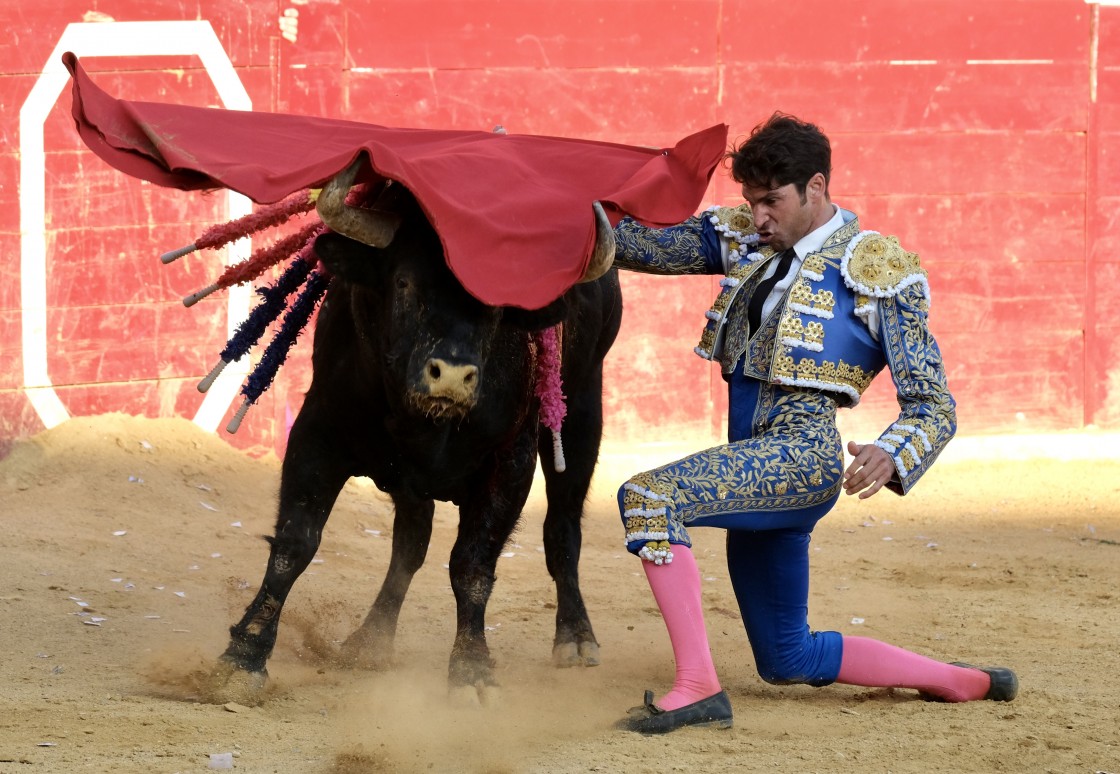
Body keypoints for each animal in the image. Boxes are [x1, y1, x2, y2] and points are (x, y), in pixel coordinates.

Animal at [211, 160, 622, 703]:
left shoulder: (510, 462)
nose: (450, 375)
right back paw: (371, 639)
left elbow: (472, 564)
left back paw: (576, 638)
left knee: (562, 527)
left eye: (499, 303)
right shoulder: (317, 433)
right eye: (405, 283)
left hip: (582, 415)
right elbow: (295, 542)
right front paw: (243, 657)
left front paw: (471, 672)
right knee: (410, 541)